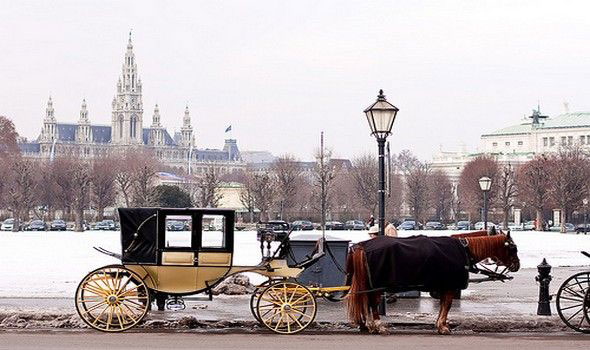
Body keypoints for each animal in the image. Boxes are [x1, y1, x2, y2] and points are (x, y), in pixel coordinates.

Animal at [346, 231, 524, 334]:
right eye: (513, 248)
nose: (517, 265)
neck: (465, 250)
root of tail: (362, 246)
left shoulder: (444, 286)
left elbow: (443, 305)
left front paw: (440, 324)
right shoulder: (450, 286)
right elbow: (447, 305)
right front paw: (443, 326)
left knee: (366, 302)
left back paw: (368, 325)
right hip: (375, 285)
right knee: (373, 303)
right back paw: (377, 325)